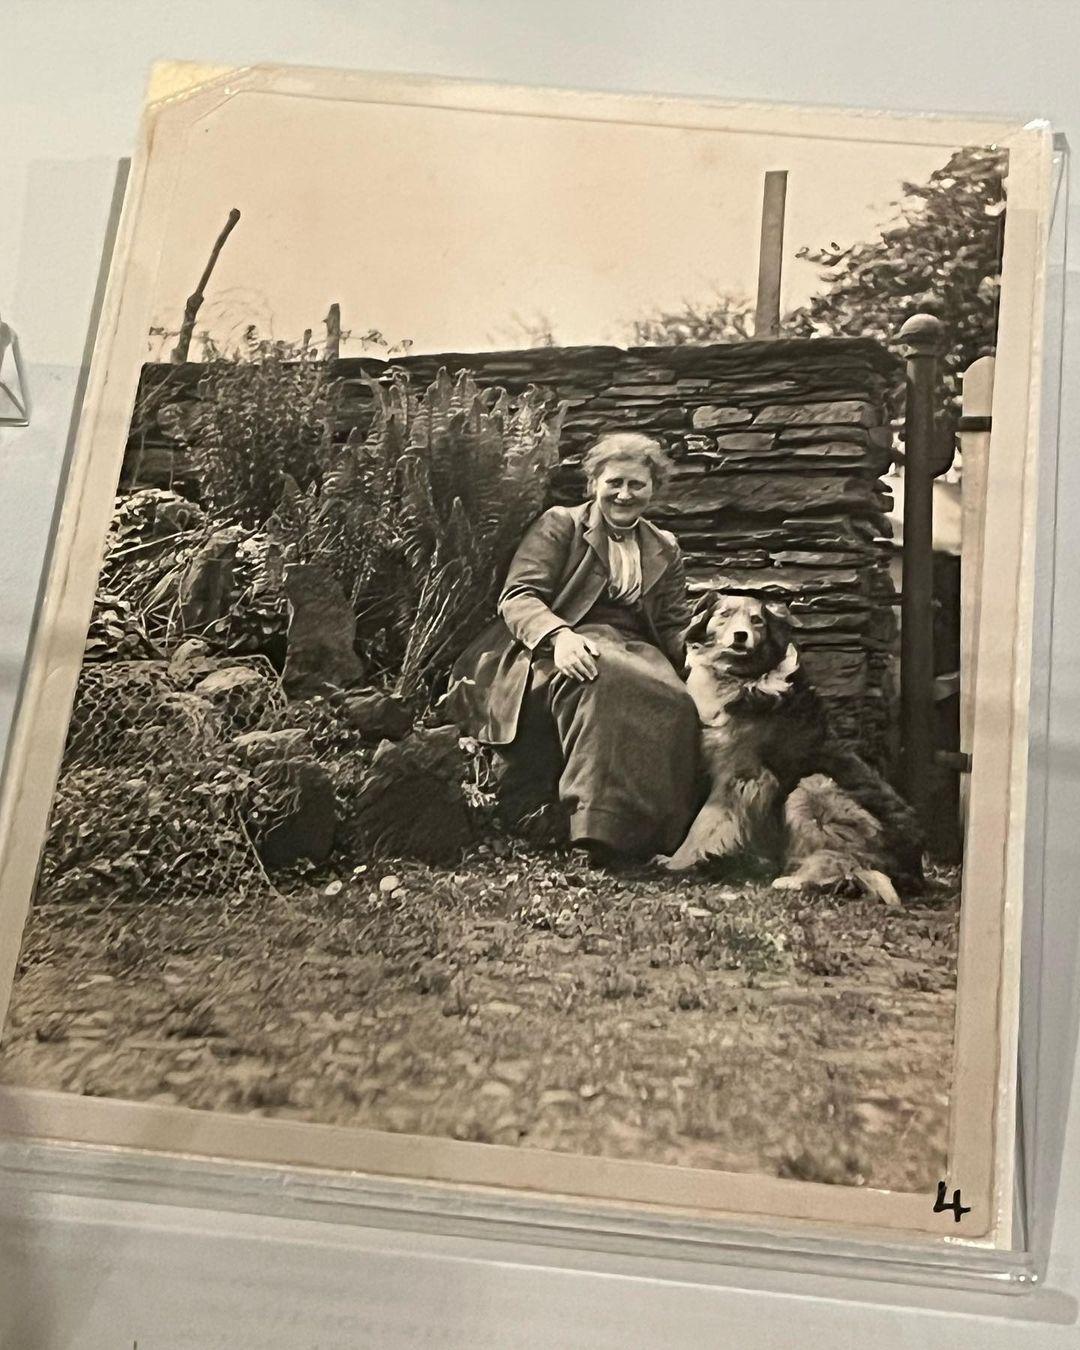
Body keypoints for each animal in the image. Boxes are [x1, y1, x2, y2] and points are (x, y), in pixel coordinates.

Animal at [653, 594, 923, 901]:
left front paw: (677, 861)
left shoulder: (742, 777)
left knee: (849, 865)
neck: (744, 677)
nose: (741, 636)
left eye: (757, 620)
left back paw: (794, 880)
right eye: (724, 614)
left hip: (814, 787)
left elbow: (703, 823)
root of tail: (913, 870)